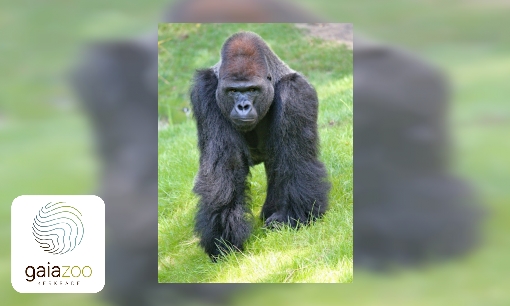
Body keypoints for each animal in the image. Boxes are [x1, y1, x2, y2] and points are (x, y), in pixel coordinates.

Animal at [190, 31, 330, 258]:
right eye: (232, 91)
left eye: (252, 89)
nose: (243, 106)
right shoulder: (205, 92)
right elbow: (224, 168)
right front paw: (223, 236)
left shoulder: (295, 93)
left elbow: (296, 162)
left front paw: (294, 217)